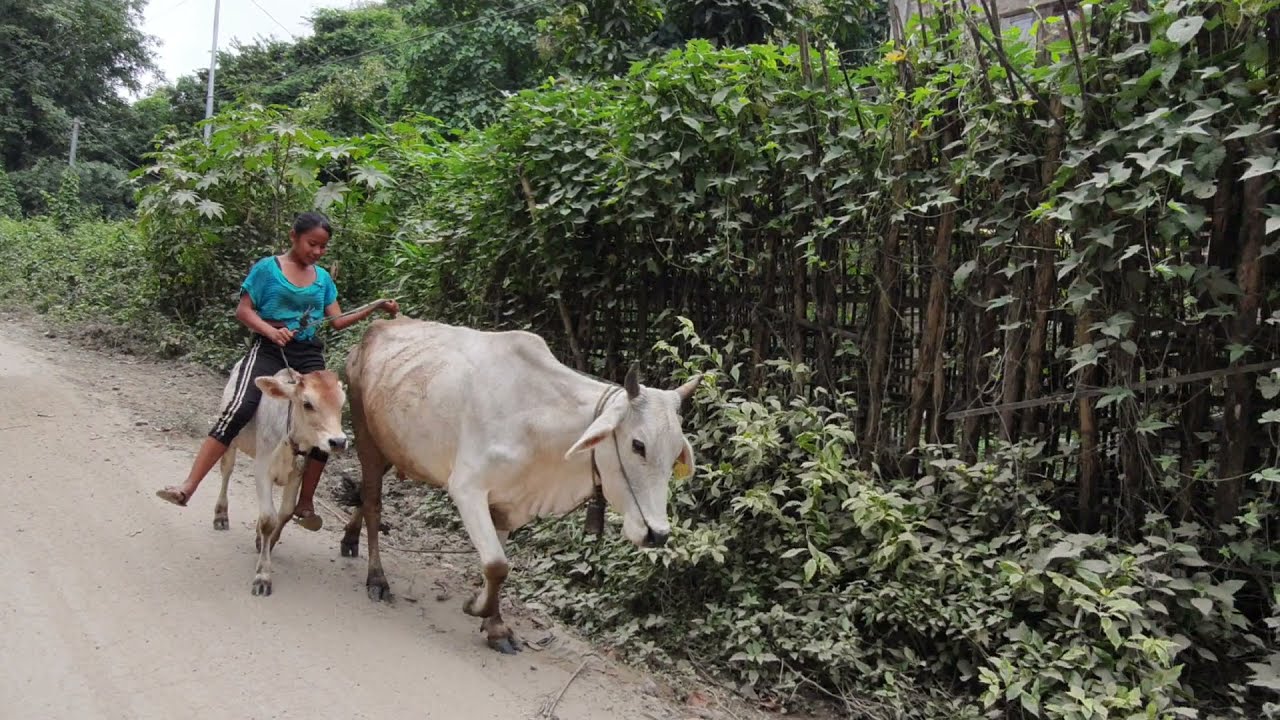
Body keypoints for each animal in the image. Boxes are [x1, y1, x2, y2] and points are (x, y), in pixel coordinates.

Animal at [211, 366, 349, 596]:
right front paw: (263, 576)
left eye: (342, 404)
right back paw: (220, 515)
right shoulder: (262, 470)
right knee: (226, 471)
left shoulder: (296, 475)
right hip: (231, 438)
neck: (289, 438)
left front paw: (264, 542)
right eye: (307, 404)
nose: (338, 442)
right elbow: (268, 519)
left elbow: (285, 513)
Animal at [340, 318, 701, 653]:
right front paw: (477, 608)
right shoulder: (468, 488)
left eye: (674, 455)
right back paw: (377, 578)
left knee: (364, 493)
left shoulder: (508, 505)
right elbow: (497, 565)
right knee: (372, 502)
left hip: (392, 444)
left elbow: (496, 567)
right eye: (638, 445)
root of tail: (377, 328)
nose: (658, 534)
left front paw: (495, 625)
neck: (540, 423)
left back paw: (349, 538)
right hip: (365, 436)